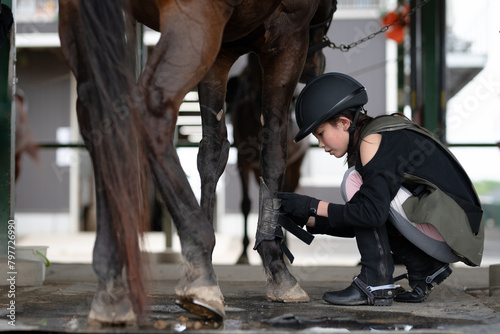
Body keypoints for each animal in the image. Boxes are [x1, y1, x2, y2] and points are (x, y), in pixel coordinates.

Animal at [59, 0, 336, 324]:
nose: (314, 68)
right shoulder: (288, 36)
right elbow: (273, 153)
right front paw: (275, 267)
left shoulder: (220, 54)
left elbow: (212, 153)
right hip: (194, 21)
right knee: (150, 107)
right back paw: (199, 262)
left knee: (97, 115)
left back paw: (111, 286)